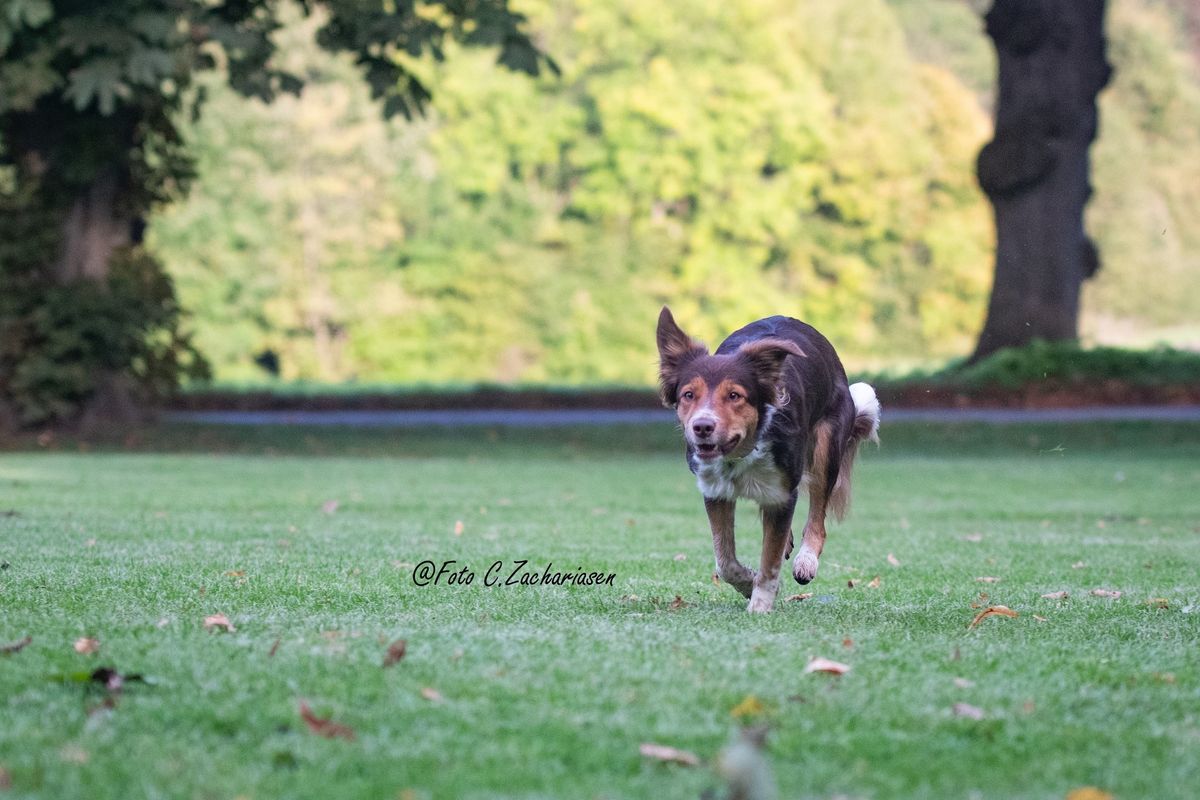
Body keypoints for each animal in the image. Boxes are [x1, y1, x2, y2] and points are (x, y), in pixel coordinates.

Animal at [657, 307, 883, 614]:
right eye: (688, 395)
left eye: (734, 395)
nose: (702, 426)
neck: (742, 452)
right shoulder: (715, 491)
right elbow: (725, 561)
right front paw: (747, 583)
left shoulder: (782, 491)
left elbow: (770, 561)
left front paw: (760, 605)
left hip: (827, 446)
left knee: (817, 517)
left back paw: (806, 561)